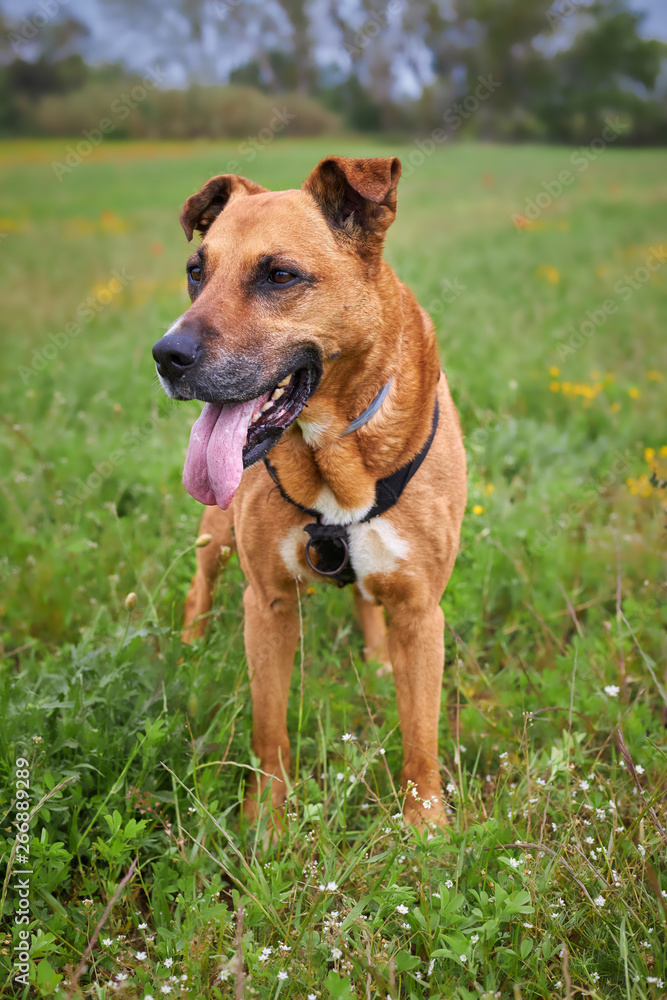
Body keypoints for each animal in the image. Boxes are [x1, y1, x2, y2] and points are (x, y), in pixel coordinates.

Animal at [152, 156, 468, 828]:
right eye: (196, 272)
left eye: (279, 275)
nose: (166, 356)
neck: (336, 456)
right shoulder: (268, 605)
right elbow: (269, 727)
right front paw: (266, 820)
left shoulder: (419, 609)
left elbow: (421, 735)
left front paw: (426, 824)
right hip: (216, 535)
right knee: (199, 586)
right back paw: (190, 647)